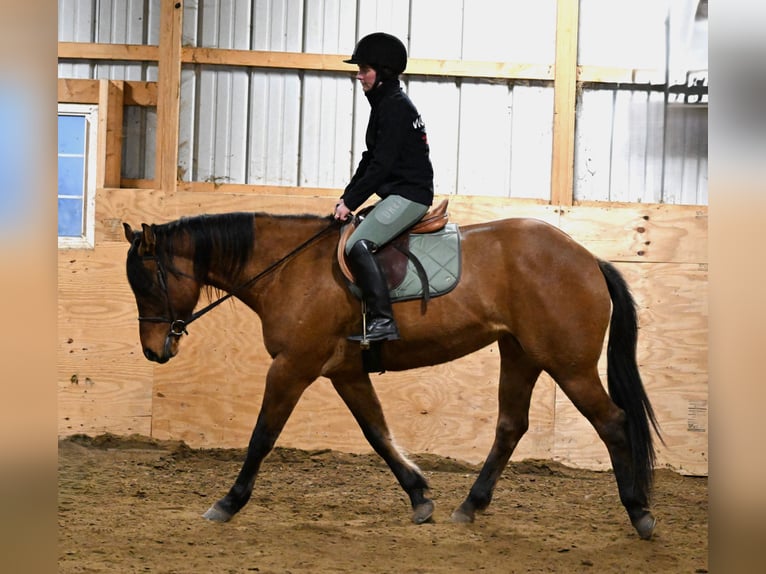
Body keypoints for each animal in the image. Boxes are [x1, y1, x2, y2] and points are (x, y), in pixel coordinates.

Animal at [123, 209, 662, 540]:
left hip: (567, 364)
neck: (288, 269)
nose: (153, 351)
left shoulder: (293, 366)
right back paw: (470, 506)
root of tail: (588, 258)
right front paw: (420, 495)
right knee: (511, 426)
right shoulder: (344, 372)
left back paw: (639, 512)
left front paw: (228, 502)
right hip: (521, 354)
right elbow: (377, 432)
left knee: (612, 422)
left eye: (148, 281)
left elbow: (262, 436)